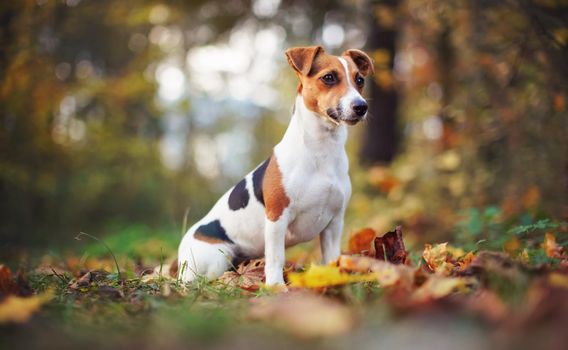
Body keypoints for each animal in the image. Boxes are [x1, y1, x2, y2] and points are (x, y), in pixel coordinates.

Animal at [178, 45, 372, 284]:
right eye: (328, 77)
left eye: (360, 80)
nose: (361, 106)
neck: (321, 150)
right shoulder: (277, 218)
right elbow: (276, 257)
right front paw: (276, 286)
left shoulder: (334, 223)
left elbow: (331, 258)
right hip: (215, 259)